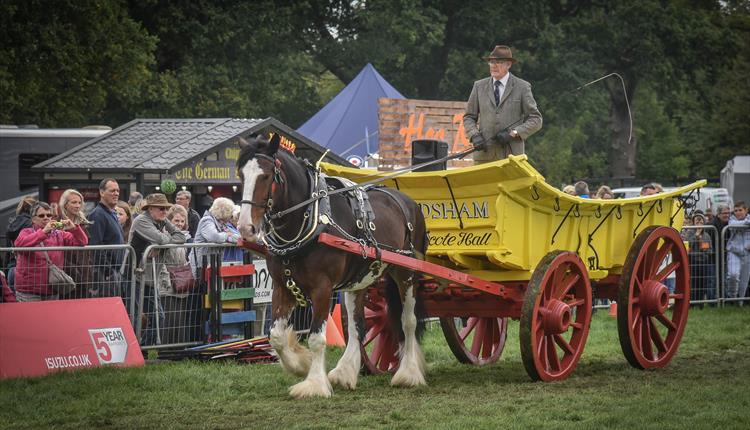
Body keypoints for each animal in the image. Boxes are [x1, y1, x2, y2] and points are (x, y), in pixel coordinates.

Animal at [238, 133, 432, 398]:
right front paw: (301, 365)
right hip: (360, 279)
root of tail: (408, 202)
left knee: (408, 321)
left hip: (407, 273)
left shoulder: (323, 288)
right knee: (358, 324)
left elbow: (316, 338)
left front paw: (314, 384)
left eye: (266, 176)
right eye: (241, 175)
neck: (311, 218)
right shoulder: (282, 286)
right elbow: (276, 336)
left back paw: (409, 373)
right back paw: (345, 372)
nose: (245, 227)